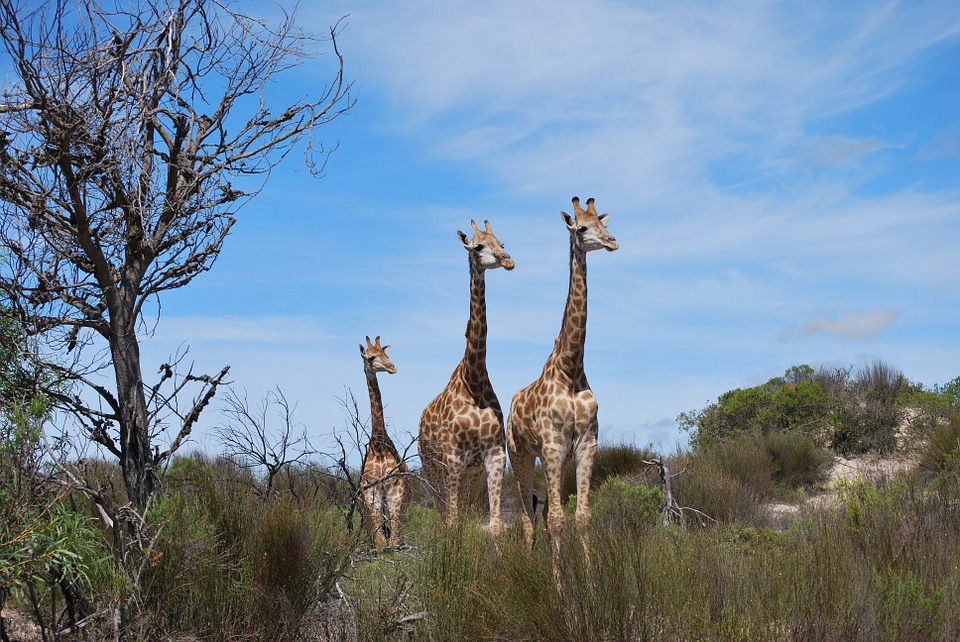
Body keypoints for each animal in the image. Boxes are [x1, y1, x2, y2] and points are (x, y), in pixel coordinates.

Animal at [418, 219, 515, 537]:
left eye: (502, 243)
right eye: (478, 246)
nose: (507, 260)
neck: (474, 379)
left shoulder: (494, 454)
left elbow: (495, 525)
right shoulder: (452, 457)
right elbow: (453, 524)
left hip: (469, 475)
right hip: (431, 469)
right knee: (444, 515)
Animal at [506, 197, 618, 555]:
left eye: (604, 223)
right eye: (581, 228)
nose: (612, 242)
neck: (570, 369)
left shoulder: (585, 443)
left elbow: (582, 517)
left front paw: (587, 571)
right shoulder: (553, 444)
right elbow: (557, 519)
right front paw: (557, 574)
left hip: (554, 458)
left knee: (539, 513)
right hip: (521, 454)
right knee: (528, 517)